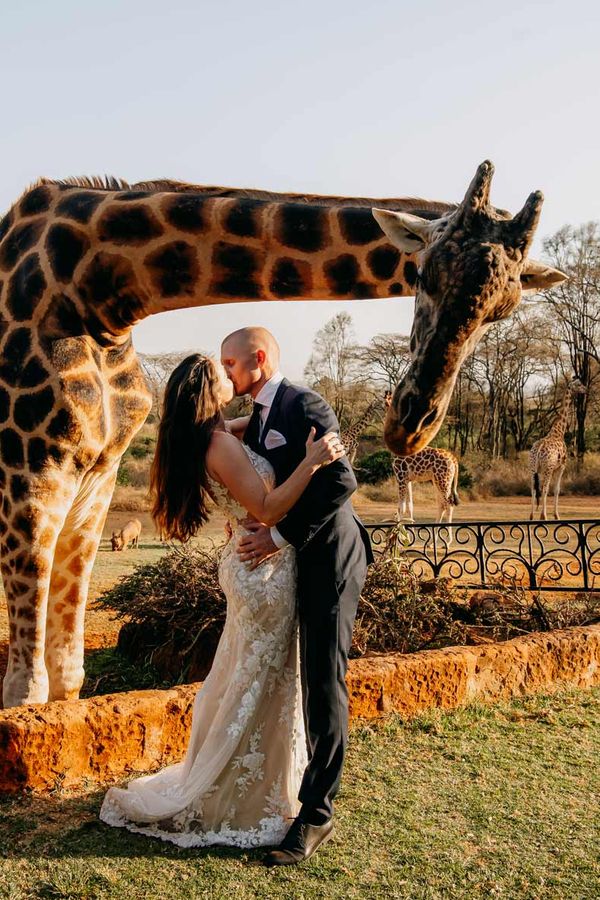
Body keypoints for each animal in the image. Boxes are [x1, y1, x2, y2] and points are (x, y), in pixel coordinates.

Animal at [0, 162, 564, 707]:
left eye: (503, 309)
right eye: (422, 275)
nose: (409, 425)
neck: (96, 294)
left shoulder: (100, 473)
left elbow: (67, 675)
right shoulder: (31, 466)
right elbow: (26, 692)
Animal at [529, 378, 586, 520]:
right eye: (579, 384)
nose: (586, 389)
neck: (559, 431)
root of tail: (538, 449)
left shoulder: (550, 469)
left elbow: (548, 489)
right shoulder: (561, 467)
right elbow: (556, 489)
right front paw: (556, 515)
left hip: (532, 468)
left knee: (533, 488)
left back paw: (531, 516)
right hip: (547, 468)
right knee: (544, 488)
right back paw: (543, 516)